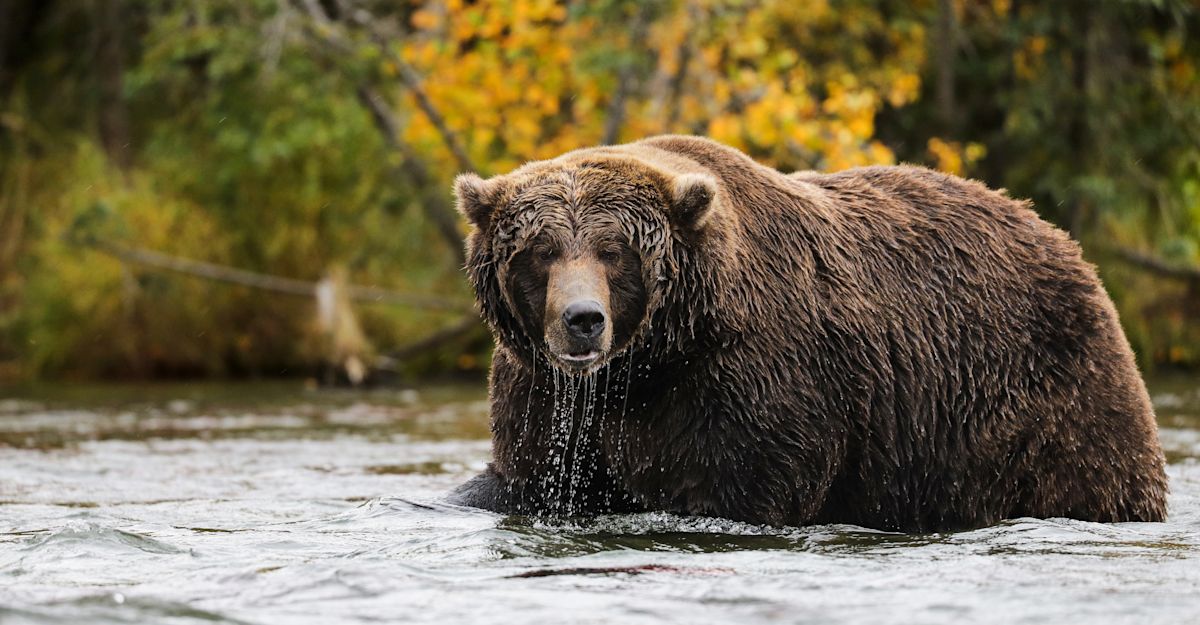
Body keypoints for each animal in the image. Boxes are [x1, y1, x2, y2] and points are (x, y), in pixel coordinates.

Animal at [447, 134, 1168, 532]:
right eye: (540, 250)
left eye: (614, 250)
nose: (582, 320)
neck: (653, 362)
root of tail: (1062, 239)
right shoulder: (549, 394)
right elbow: (522, 476)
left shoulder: (755, 380)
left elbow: (743, 485)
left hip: (1040, 395)